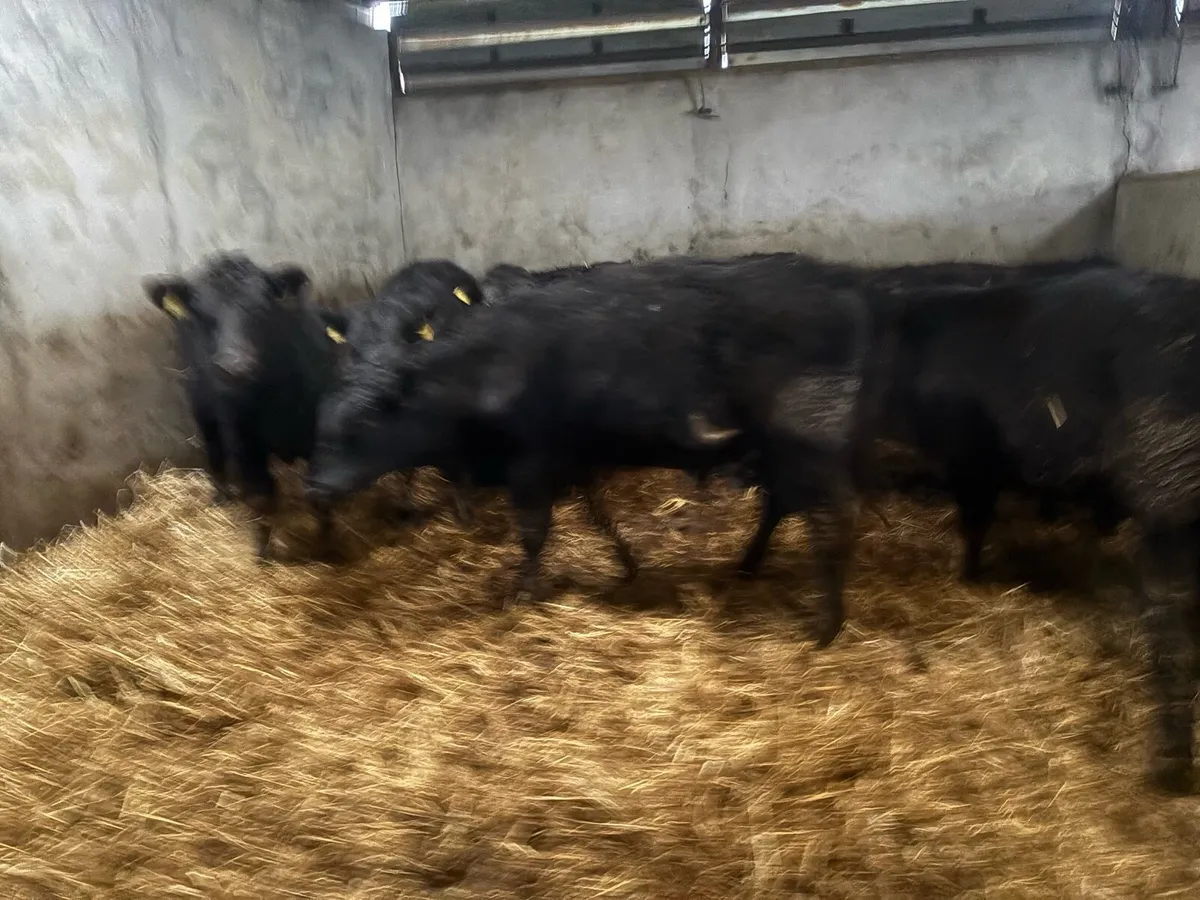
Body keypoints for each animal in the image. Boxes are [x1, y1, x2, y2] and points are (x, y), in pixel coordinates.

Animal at [142, 251, 346, 560]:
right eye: (203, 315)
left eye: (261, 307)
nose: (234, 367)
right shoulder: (244, 444)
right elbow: (261, 497)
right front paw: (263, 553)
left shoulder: (317, 437)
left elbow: (319, 494)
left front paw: (328, 547)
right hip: (201, 406)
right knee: (214, 450)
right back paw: (221, 495)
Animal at [307, 257, 879, 647]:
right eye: (322, 421)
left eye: (363, 422)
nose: (314, 485)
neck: (480, 374)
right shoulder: (571, 457)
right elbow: (598, 513)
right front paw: (626, 564)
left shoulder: (532, 465)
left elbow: (535, 533)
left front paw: (524, 593)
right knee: (782, 506)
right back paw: (749, 565)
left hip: (809, 445)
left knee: (832, 523)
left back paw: (827, 625)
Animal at [873, 264, 1200, 793]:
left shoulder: (972, 460)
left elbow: (975, 520)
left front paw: (966, 574)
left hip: (1170, 502)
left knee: (1171, 621)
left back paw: (1167, 766)